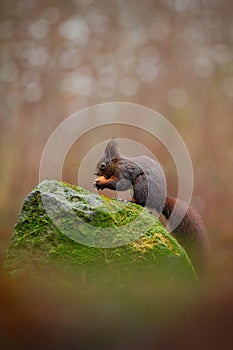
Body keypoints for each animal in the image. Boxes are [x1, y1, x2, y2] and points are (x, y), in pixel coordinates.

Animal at [93, 139, 208, 270]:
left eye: (102, 165)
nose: (95, 173)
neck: (117, 164)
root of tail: (160, 201)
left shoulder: (124, 172)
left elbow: (119, 183)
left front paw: (102, 183)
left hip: (141, 184)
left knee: (141, 202)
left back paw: (128, 201)